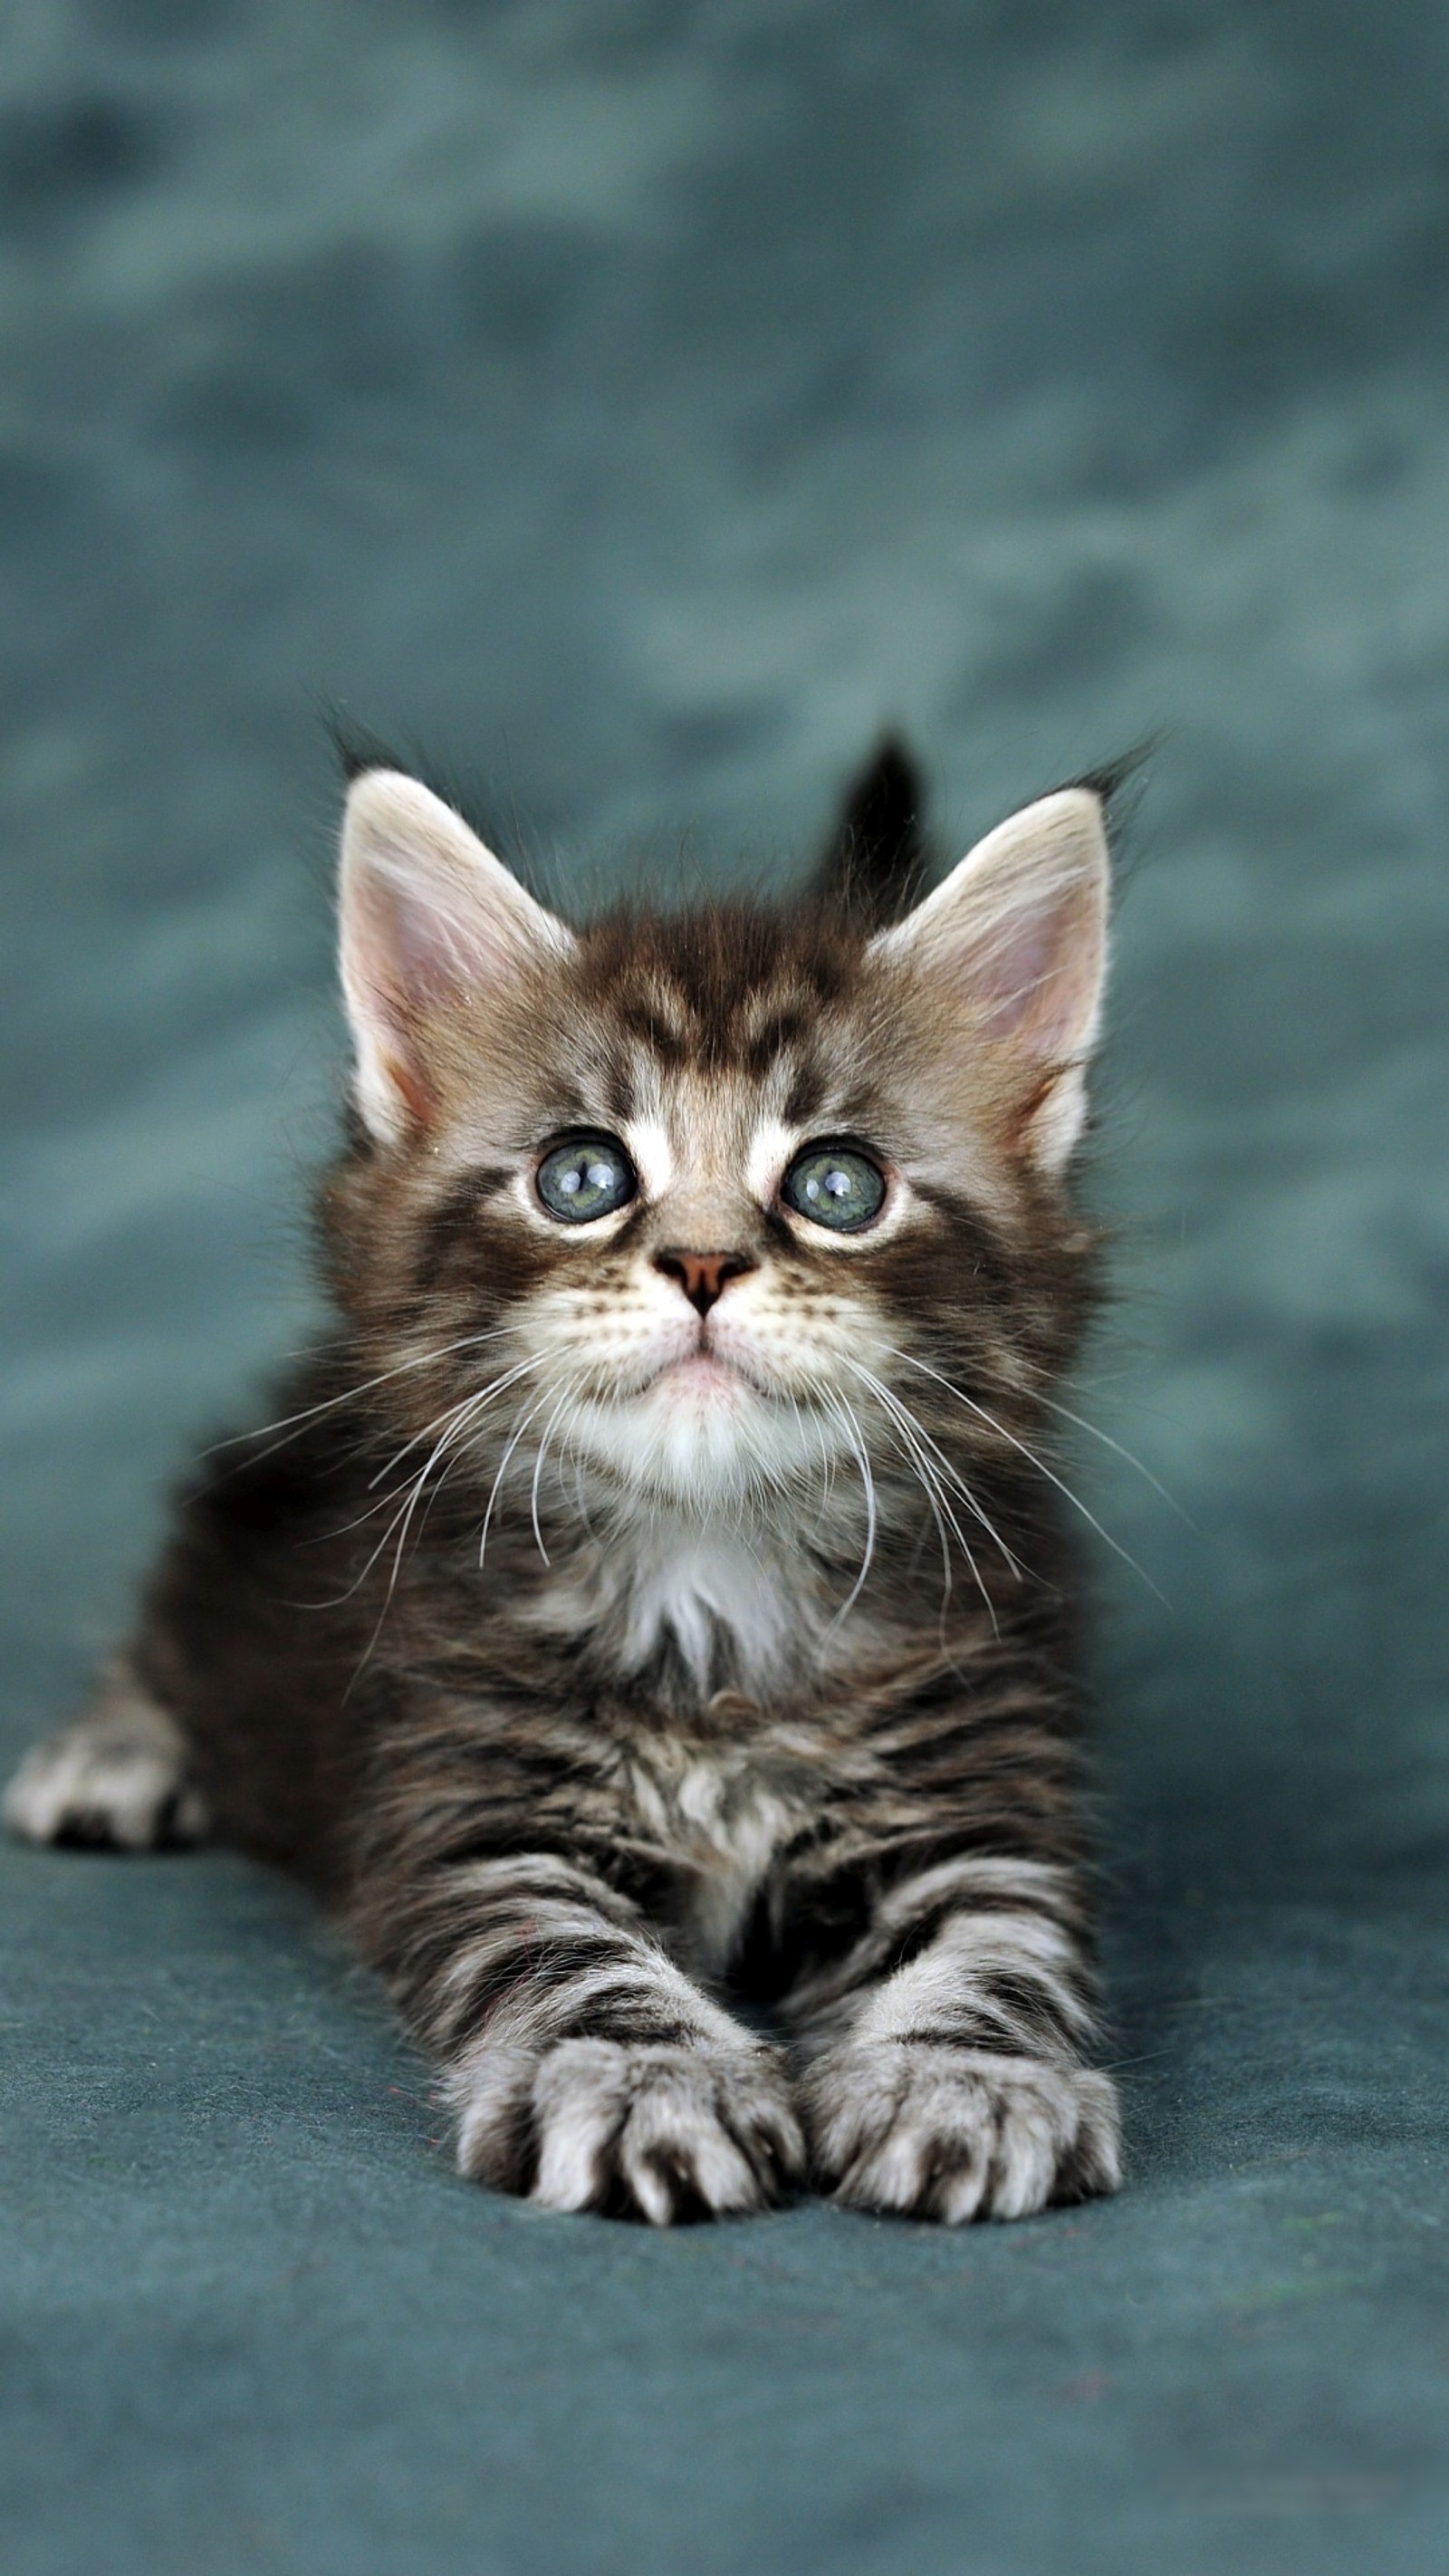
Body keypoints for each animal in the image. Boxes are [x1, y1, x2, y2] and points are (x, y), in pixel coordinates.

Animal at [5, 736, 1127, 2225]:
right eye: (582, 1176)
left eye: (837, 1186)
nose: (704, 1263)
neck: (711, 1582)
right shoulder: (467, 1795)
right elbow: (570, 1955)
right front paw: (654, 2080)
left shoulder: (974, 1783)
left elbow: (994, 1946)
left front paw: (969, 2082)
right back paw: (115, 1751)